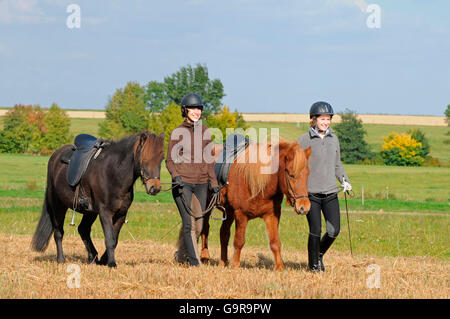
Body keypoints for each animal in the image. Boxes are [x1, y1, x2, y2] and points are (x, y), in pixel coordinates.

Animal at [31, 131, 165, 268]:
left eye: (161, 159)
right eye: (145, 159)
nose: (155, 188)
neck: (114, 173)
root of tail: (55, 156)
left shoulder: (121, 214)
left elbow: (115, 239)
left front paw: (104, 260)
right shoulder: (105, 212)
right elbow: (109, 238)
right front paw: (111, 263)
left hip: (89, 212)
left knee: (83, 230)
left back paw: (93, 257)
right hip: (58, 205)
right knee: (58, 232)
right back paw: (61, 259)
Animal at [200, 141, 310, 272]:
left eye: (307, 174)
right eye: (292, 175)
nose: (304, 207)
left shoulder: (272, 215)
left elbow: (275, 242)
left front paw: (279, 267)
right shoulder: (241, 215)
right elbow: (239, 241)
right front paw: (235, 265)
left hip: (229, 212)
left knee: (224, 234)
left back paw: (223, 263)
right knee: (205, 228)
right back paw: (204, 257)